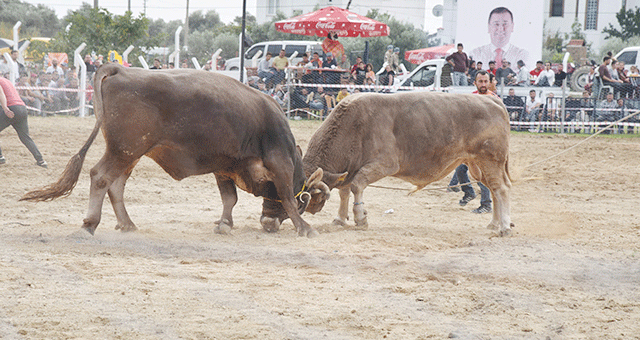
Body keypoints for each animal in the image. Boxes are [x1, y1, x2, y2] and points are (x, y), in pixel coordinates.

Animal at [21, 65, 328, 238]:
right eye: (306, 203)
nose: (268, 223)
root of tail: (120, 70)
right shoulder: (279, 163)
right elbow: (286, 195)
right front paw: (304, 227)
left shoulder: (224, 166)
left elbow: (229, 198)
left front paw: (224, 223)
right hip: (123, 150)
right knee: (100, 177)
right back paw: (89, 224)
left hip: (130, 154)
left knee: (115, 185)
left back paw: (127, 223)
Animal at [302, 91, 516, 238]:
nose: (309, 210)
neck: (354, 125)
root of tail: (492, 100)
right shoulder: (349, 169)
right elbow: (344, 191)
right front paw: (340, 218)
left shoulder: (385, 164)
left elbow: (356, 185)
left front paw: (360, 217)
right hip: (478, 166)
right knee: (494, 190)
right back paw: (494, 223)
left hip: (490, 160)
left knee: (502, 189)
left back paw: (504, 226)